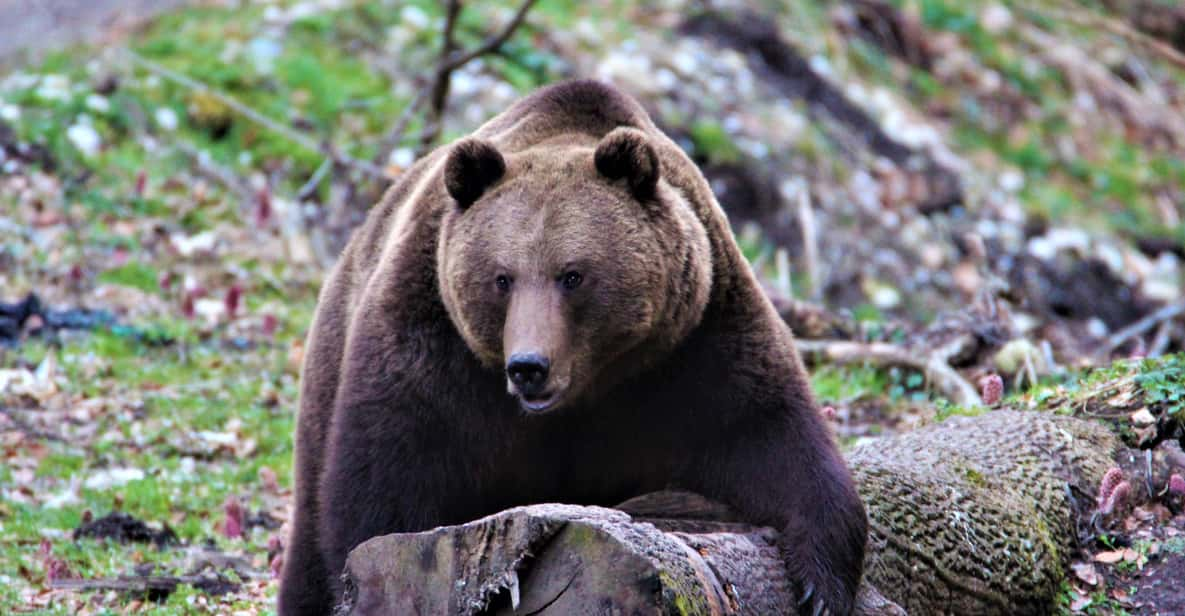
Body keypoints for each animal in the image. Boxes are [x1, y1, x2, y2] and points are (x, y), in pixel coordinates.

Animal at [280, 79, 867, 611]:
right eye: (501, 278)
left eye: (572, 275)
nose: (528, 367)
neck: (586, 392)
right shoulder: (432, 345)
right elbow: (386, 481)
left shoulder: (694, 343)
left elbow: (769, 433)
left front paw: (820, 583)